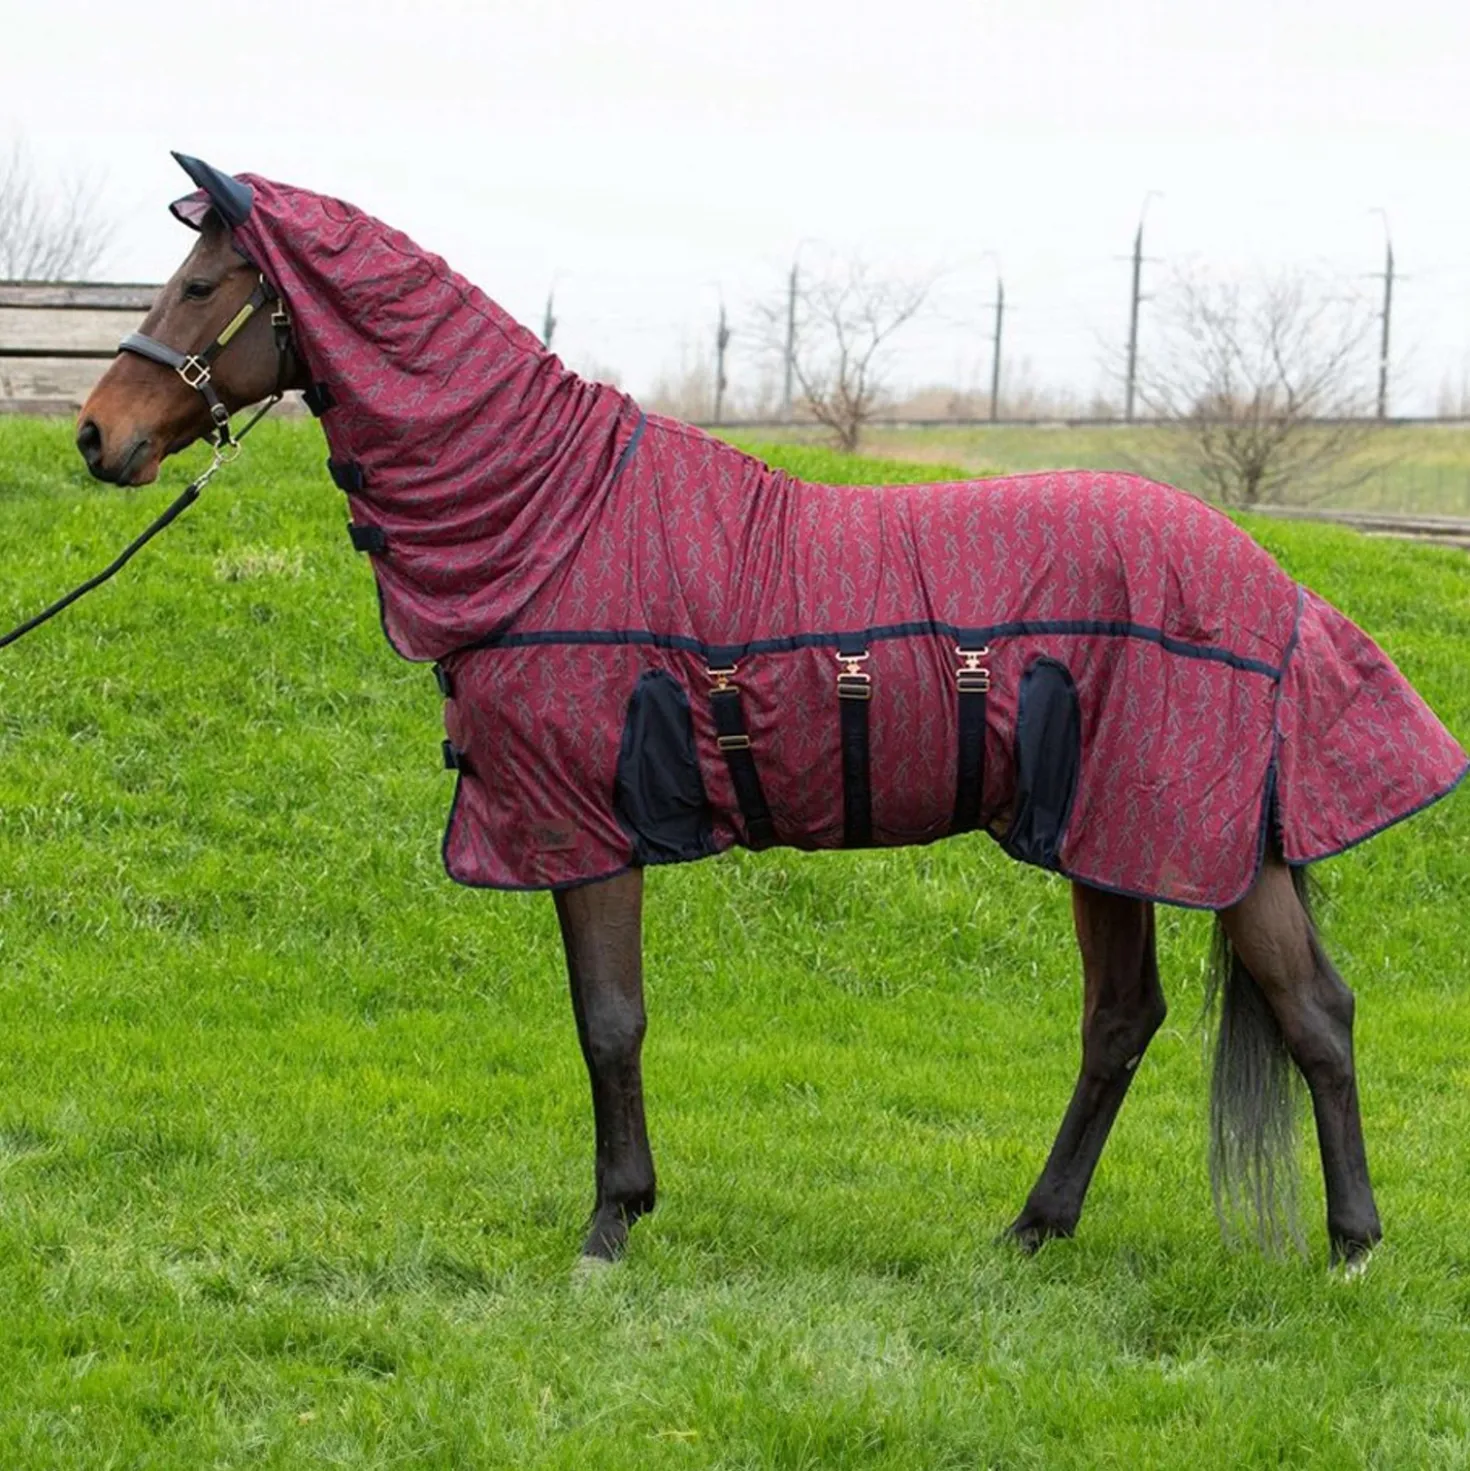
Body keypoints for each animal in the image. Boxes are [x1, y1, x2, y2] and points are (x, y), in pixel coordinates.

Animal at [74, 154, 1466, 1270]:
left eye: (202, 284)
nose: (96, 436)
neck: (555, 515)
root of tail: (1272, 583)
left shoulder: (587, 827)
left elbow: (609, 1021)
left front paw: (610, 1225)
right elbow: (609, 1020)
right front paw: (625, 1210)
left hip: (1194, 843)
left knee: (1314, 1015)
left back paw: (1350, 1247)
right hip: (1107, 844)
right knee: (1125, 1020)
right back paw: (1033, 1230)